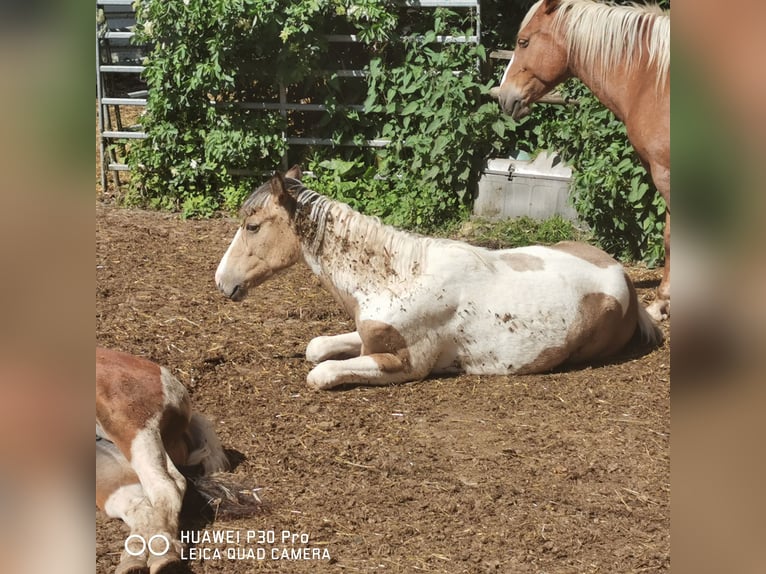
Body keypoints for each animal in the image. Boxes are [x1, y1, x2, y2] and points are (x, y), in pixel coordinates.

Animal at [216, 166, 664, 392]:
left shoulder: (405, 364)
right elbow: (317, 348)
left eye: (252, 226)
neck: (396, 278)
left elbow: (320, 373)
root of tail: (623, 276)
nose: (222, 282)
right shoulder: (367, 336)